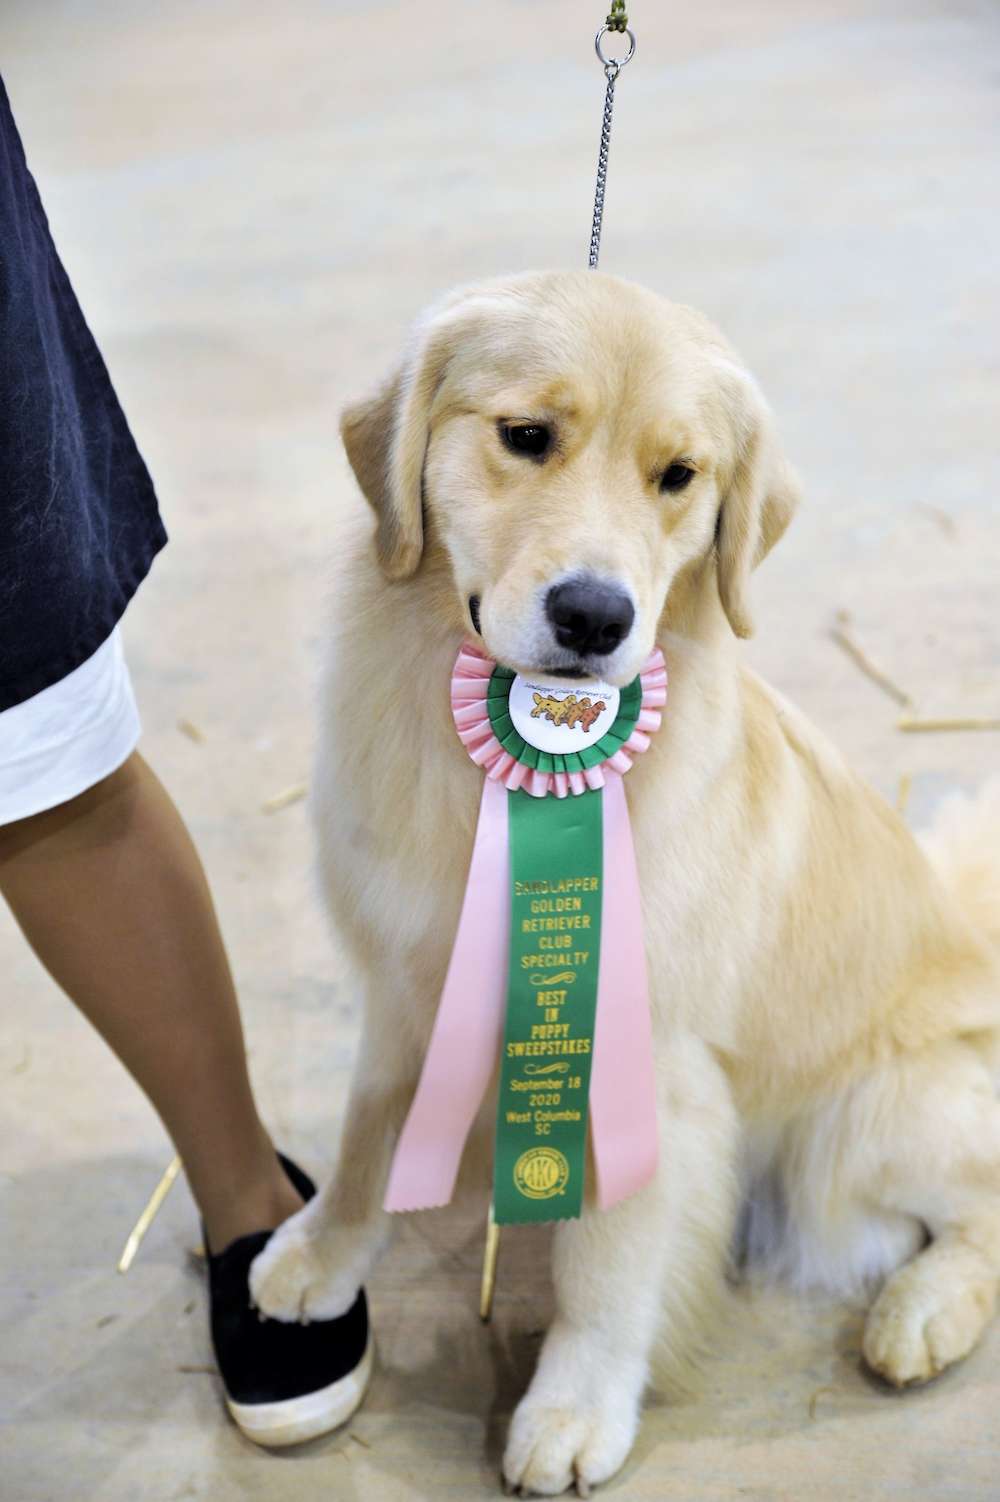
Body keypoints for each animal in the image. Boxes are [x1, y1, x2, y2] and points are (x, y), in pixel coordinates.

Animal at [247, 273, 996, 1502]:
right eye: (524, 437)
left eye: (678, 475)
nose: (595, 617)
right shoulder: (408, 984)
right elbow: (367, 1135)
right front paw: (322, 1250)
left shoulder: (649, 1059)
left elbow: (607, 1259)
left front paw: (574, 1406)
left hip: (878, 1117)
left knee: (979, 1206)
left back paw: (921, 1313)